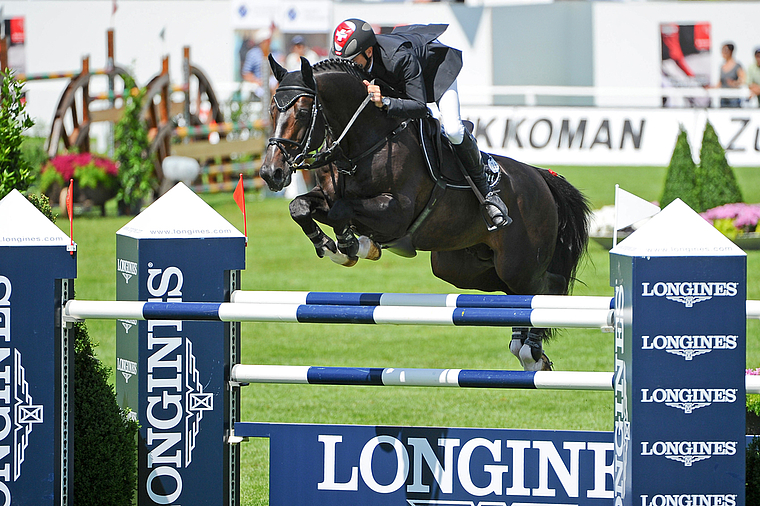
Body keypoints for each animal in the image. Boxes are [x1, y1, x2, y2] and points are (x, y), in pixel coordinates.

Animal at [258, 56, 592, 372]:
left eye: (303, 113)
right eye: (272, 112)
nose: (271, 173)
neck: (364, 143)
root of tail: (541, 177)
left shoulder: (395, 213)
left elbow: (342, 211)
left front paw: (352, 245)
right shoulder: (326, 197)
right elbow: (300, 207)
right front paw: (333, 246)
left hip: (518, 261)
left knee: (545, 288)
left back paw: (531, 352)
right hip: (462, 267)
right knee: (517, 295)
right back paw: (525, 348)